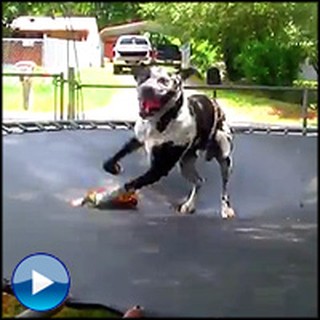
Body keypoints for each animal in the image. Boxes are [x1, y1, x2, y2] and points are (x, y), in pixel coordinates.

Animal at [102, 64, 235, 218]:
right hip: (186, 165)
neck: (162, 121)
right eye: (144, 77)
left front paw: (106, 196)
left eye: (164, 81)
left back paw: (226, 208)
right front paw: (111, 165)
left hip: (224, 158)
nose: (147, 89)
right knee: (199, 181)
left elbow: (130, 184)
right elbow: (121, 151)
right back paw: (189, 205)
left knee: (224, 187)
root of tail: (213, 102)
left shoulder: (159, 168)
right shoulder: (138, 139)